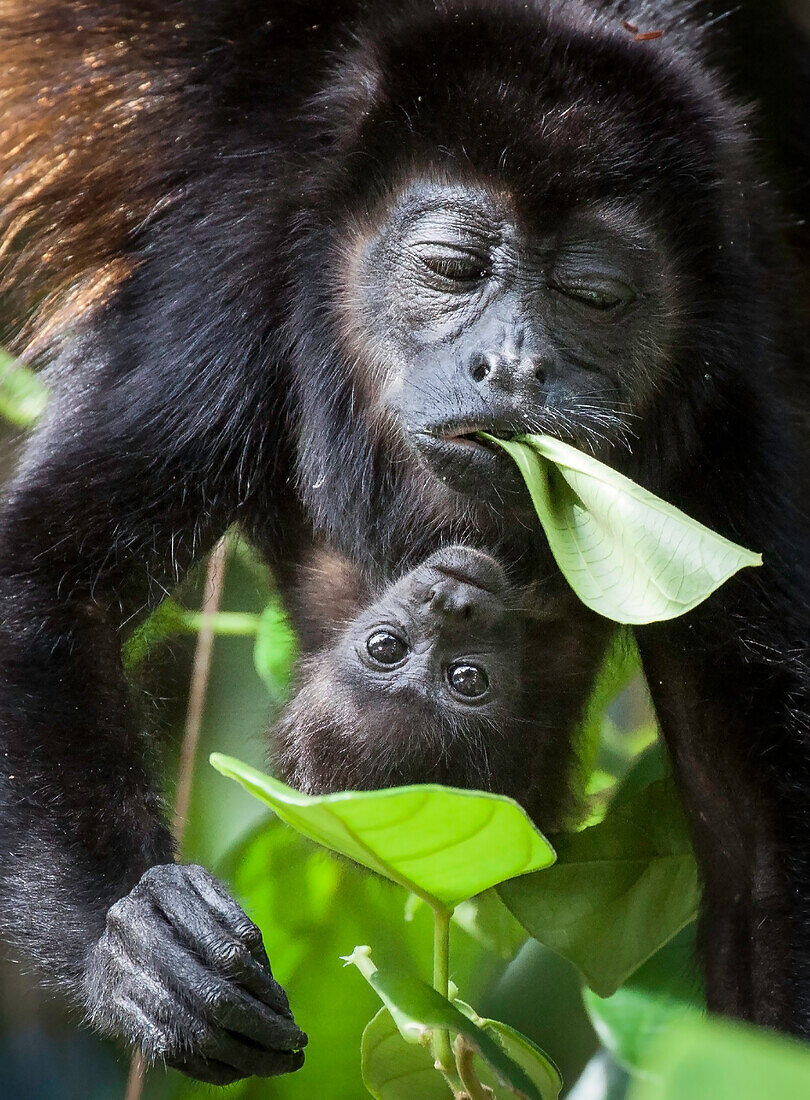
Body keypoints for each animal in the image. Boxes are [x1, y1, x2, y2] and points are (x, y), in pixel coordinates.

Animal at [0, 0, 805, 1082]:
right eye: (452, 269)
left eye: (594, 294)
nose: (513, 363)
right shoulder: (229, 283)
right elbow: (45, 591)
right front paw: (141, 950)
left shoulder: (726, 426)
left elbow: (757, 842)